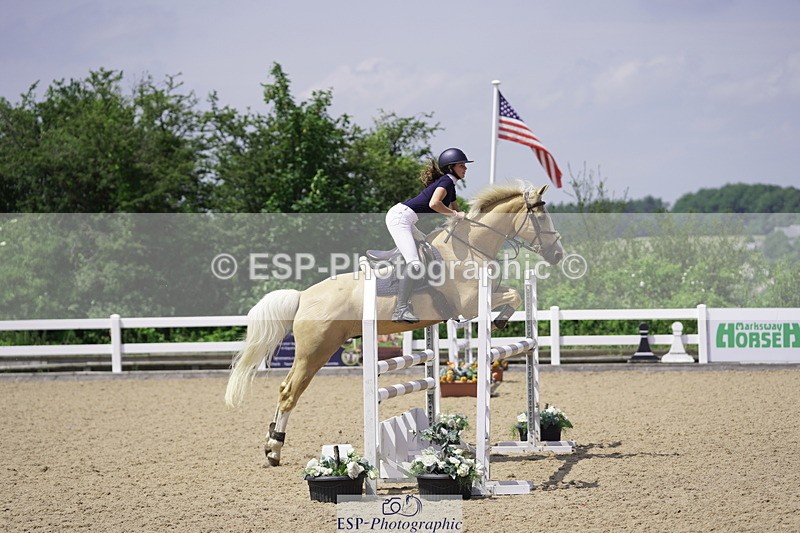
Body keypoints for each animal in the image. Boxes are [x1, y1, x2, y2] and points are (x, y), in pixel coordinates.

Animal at [224, 181, 564, 466]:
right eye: (542, 216)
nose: (558, 254)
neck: (469, 247)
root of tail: (303, 296)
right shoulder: (469, 305)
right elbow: (514, 295)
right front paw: (499, 322)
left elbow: (514, 294)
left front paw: (501, 321)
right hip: (316, 351)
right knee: (289, 392)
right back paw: (274, 449)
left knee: (285, 388)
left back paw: (271, 444)